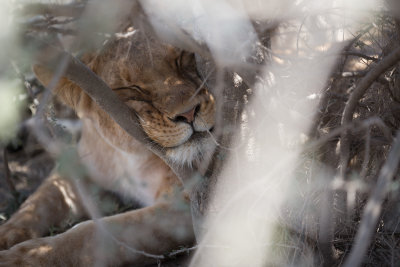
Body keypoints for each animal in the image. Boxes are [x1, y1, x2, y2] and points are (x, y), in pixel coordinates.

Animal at [0, 27, 216, 267]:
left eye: (182, 58)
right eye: (131, 88)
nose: (189, 113)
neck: (131, 157)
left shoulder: (186, 206)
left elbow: (88, 234)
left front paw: (21, 258)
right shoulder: (78, 169)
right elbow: (37, 203)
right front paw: (4, 236)